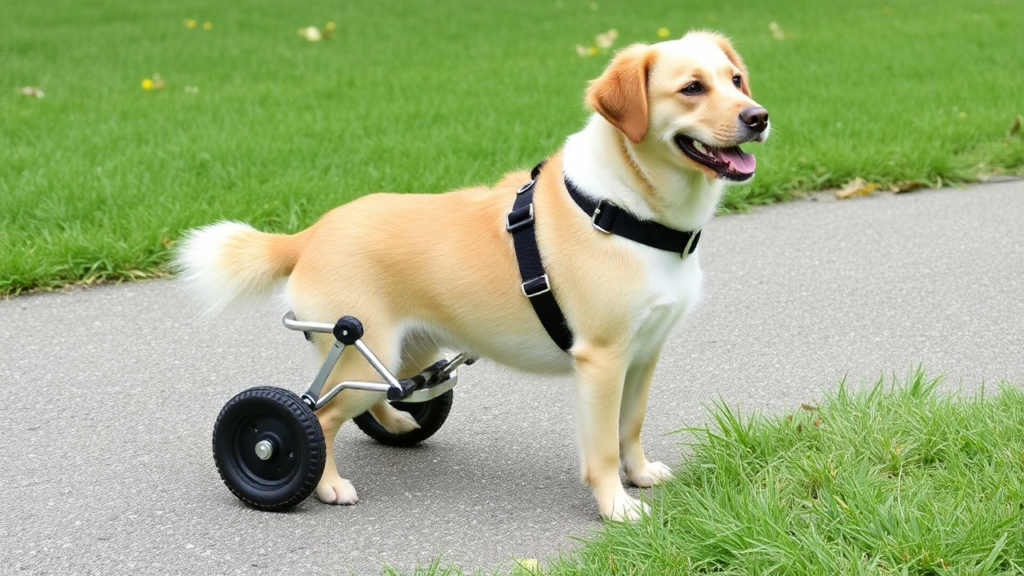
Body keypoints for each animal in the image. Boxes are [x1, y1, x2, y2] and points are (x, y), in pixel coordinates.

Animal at [176, 31, 770, 518]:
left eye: (736, 80)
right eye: (692, 88)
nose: (759, 116)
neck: (624, 209)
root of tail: (309, 233)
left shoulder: (644, 355)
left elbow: (631, 425)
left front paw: (640, 475)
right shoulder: (602, 360)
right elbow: (602, 445)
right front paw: (615, 506)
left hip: (400, 354)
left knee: (381, 395)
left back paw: (398, 424)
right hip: (359, 345)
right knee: (317, 417)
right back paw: (324, 485)